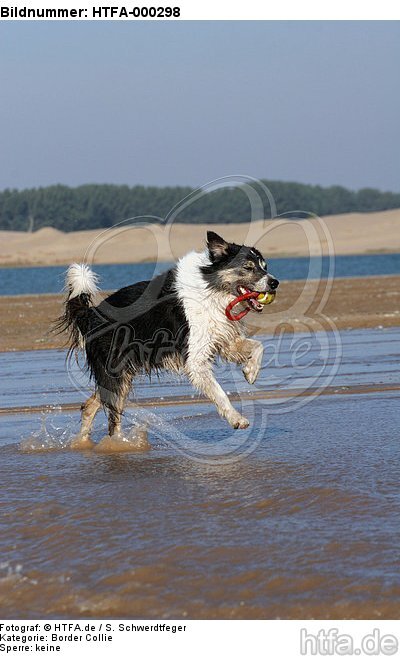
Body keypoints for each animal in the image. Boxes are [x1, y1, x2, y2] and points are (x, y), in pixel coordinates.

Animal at [59, 232, 278, 452]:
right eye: (248, 267)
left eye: (264, 266)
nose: (275, 283)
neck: (212, 289)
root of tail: (91, 313)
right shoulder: (195, 358)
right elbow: (220, 393)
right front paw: (237, 419)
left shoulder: (223, 340)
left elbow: (258, 346)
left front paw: (250, 372)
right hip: (116, 372)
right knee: (113, 418)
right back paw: (119, 443)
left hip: (121, 374)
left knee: (90, 406)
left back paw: (84, 442)